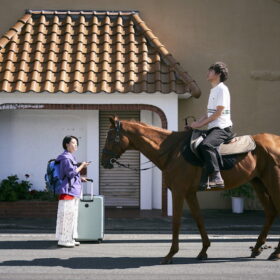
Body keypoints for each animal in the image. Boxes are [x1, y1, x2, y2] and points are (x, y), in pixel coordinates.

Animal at [101, 115, 280, 262]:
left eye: (110, 136)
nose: (104, 161)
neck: (171, 151)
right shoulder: (190, 193)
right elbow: (198, 219)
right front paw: (204, 250)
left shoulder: (179, 192)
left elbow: (176, 221)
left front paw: (170, 254)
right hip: (258, 182)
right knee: (271, 212)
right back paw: (257, 248)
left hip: (273, 182)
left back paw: (275, 253)